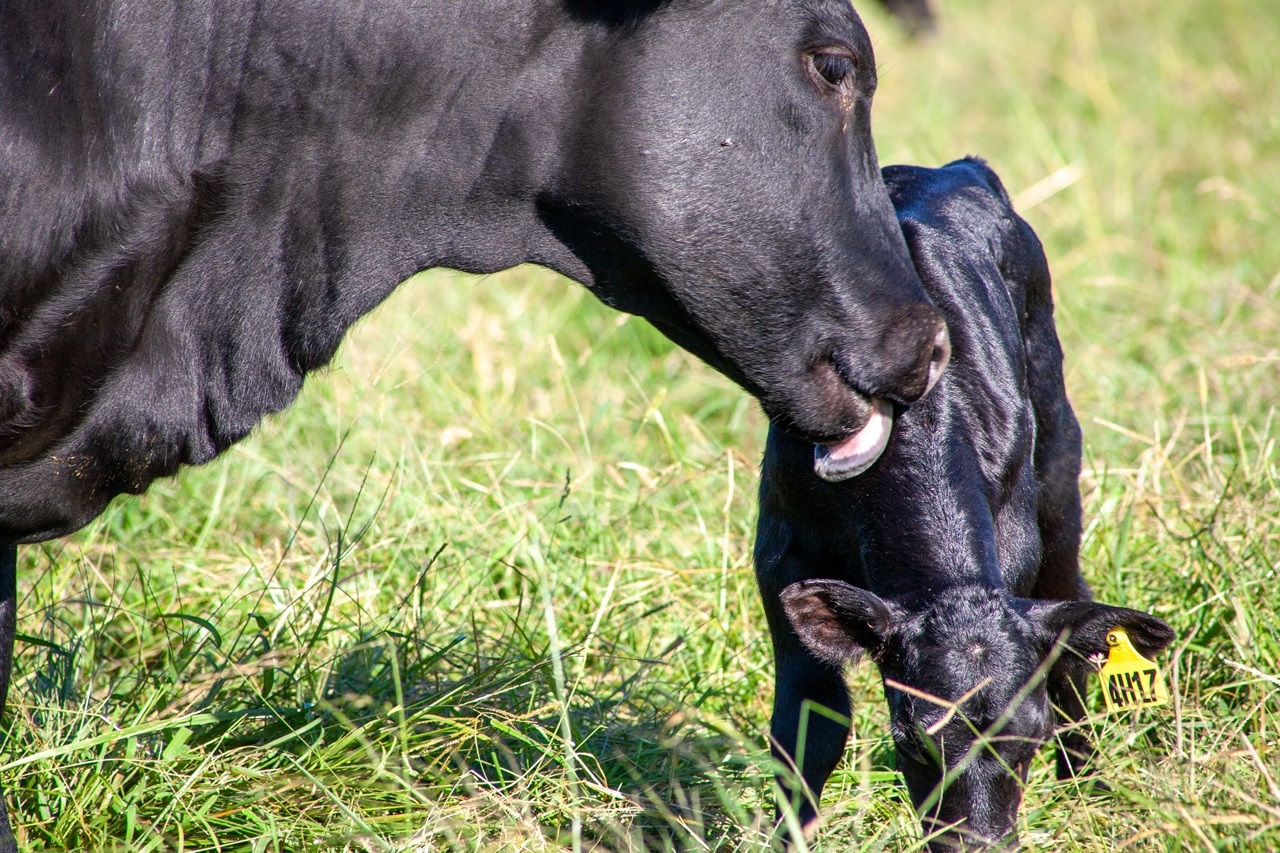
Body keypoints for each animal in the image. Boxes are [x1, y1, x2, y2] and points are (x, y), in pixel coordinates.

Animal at [752, 157, 1172, 845]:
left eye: (1027, 743)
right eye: (911, 742)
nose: (976, 844)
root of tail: (952, 168)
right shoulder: (783, 549)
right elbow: (809, 723)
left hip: (1058, 463)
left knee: (1073, 617)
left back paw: (1086, 781)